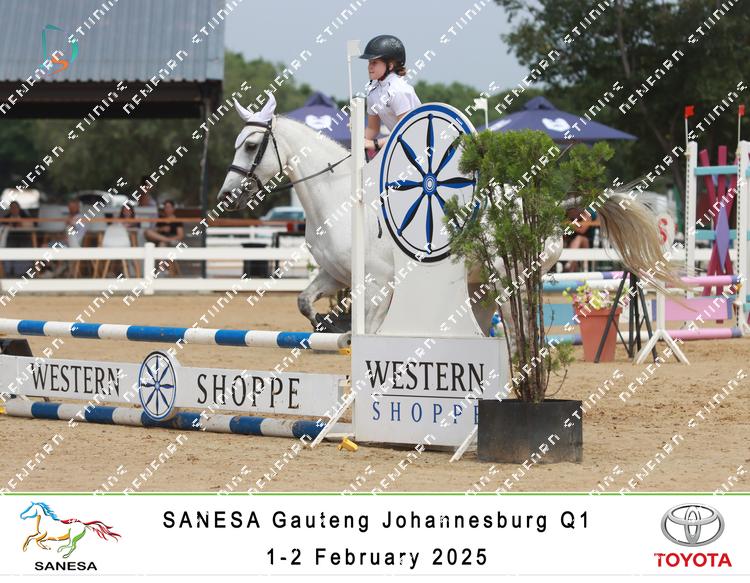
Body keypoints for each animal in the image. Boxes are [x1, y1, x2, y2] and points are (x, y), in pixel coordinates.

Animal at [216, 94, 675, 335]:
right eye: (236, 142)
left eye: (252, 145)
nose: (227, 197)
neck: (336, 200)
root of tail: (549, 205)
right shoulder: (334, 273)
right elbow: (303, 301)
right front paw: (328, 321)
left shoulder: (378, 284)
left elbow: (373, 330)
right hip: (480, 286)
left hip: (509, 277)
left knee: (517, 325)